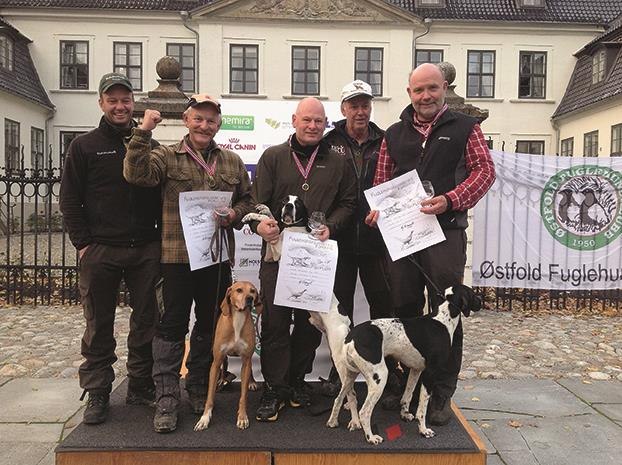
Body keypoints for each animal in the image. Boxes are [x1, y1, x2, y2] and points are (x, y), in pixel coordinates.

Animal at [195, 280, 264, 430]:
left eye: (253, 291)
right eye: (239, 290)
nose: (249, 299)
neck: (238, 319)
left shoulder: (246, 360)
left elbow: (243, 397)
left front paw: (242, 417)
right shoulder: (216, 362)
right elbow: (210, 396)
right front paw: (204, 418)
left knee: (250, 368)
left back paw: (252, 382)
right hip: (222, 357)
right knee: (224, 365)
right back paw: (222, 380)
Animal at [310, 284, 482, 444]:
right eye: (473, 293)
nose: (481, 300)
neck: (443, 320)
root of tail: (351, 338)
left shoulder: (415, 369)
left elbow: (407, 395)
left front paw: (404, 414)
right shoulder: (430, 374)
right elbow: (422, 408)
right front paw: (423, 430)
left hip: (349, 376)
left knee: (340, 398)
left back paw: (333, 422)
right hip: (379, 378)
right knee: (364, 412)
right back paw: (371, 437)